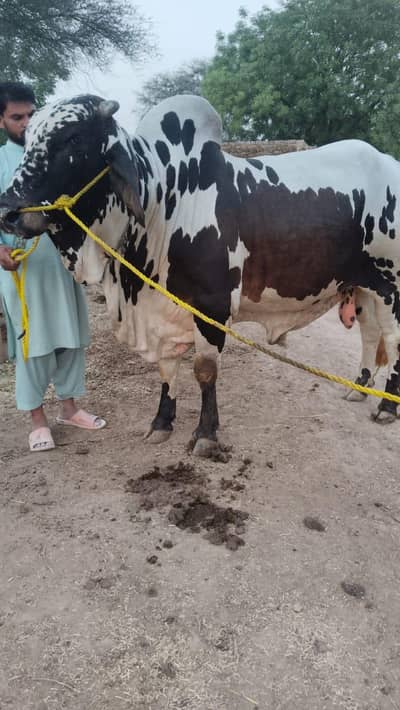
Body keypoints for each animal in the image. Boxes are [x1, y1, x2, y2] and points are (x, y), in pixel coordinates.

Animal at [0, 93, 399, 457]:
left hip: (391, 285)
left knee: (393, 343)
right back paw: (359, 388)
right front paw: (162, 422)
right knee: (370, 336)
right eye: (27, 136)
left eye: (72, 138)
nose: (8, 210)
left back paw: (386, 406)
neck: (163, 199)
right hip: (364, 287)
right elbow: (166, 369)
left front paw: (206, 434)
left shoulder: (212, 305)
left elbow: (205, 370)